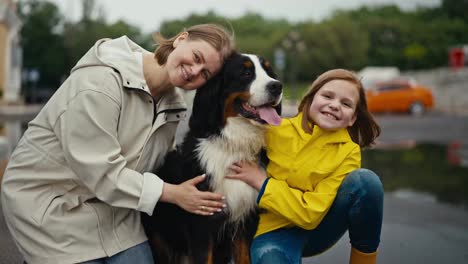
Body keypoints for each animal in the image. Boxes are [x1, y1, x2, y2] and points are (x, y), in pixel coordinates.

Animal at [142, 53, 282, 264]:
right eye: (246, 73)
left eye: (269, 71)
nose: (277, 86)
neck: (233, 145)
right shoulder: (201, 223)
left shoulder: (245, 221)